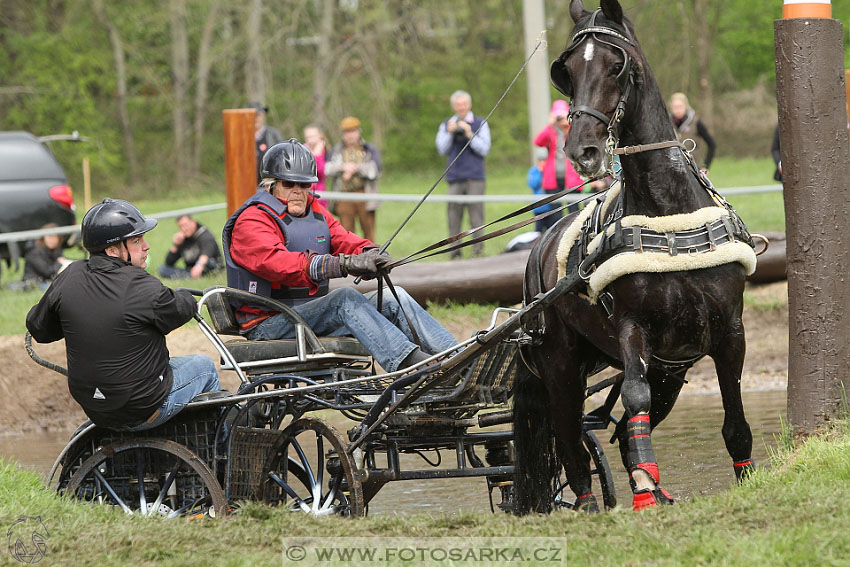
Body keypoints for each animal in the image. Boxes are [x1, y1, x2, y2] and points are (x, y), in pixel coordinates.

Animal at [510, 0, 756, 516]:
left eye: (615, 65)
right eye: (566, 71)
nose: (580, 149)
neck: (669, 214)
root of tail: (538, 249)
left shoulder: (729, 330)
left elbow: (735, 421)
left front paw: (745, 480)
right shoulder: (632, 329)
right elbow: (634, 396)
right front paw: (642, 490)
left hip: (671, 370)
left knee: (619, 433)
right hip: (561, 367)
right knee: (572, 441)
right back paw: (588, 503)